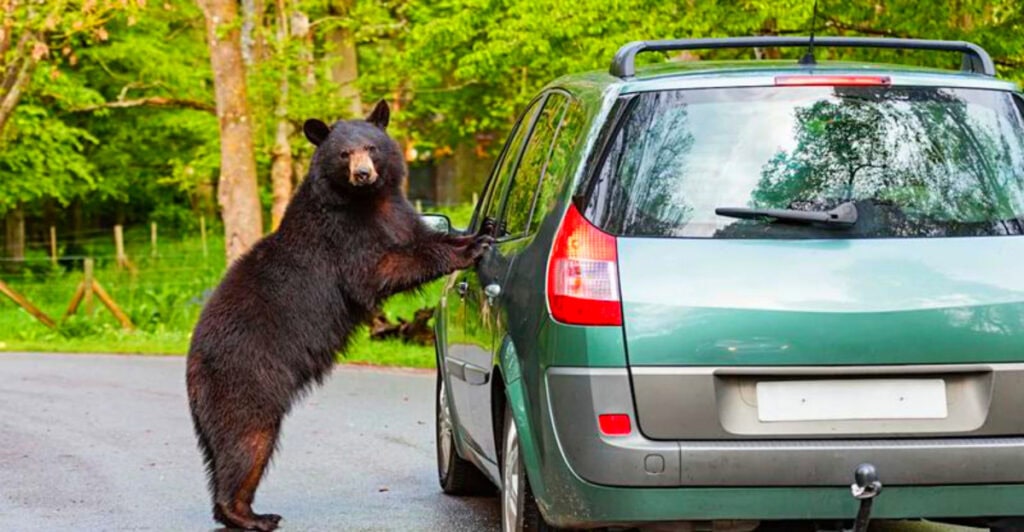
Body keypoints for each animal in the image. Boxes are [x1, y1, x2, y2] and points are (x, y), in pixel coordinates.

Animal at [185, 100, 491, 531]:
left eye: (371, 147)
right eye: (344, 153)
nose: (363, 174)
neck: (368, 202)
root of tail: (193, 361)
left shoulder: (399, 214)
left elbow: (420, 236)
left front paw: (473, 235)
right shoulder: (342, 237)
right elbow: (379, 269)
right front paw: (470, 248)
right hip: (245, 376)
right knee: (246, 439)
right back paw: (248, 514)